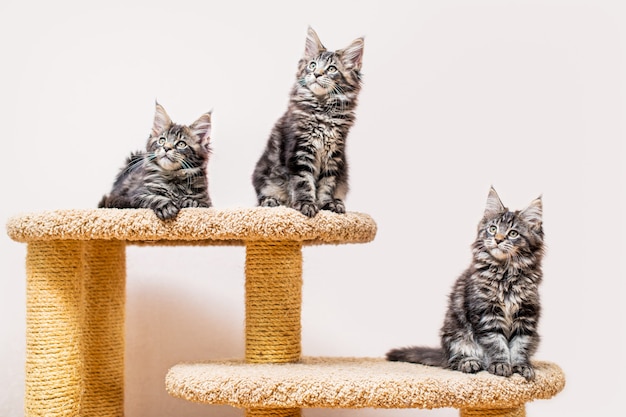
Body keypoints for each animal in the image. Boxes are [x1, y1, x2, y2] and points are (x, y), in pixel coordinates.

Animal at [251, 25, 364, 218]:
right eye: (312, 65)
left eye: (332, 69)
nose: (317, 74)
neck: (323, 111)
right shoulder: (300, 151)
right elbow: (303, 182)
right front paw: (306, 204)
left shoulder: (334, 155)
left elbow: (327, 184)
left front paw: (327, 204)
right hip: (266, 175)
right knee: (263, 196)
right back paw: (271, 201)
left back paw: (338, 202)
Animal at [386, 188, 540, 380]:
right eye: (493, 229)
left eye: (513, 233)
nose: (498, 239)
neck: (505, 273)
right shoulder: (486, 314)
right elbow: (496, 343)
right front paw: (500, 365)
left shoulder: (526, 314)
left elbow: (520, 345)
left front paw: (522, 366)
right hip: (456, 332)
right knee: (454, 360)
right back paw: (470, 362)